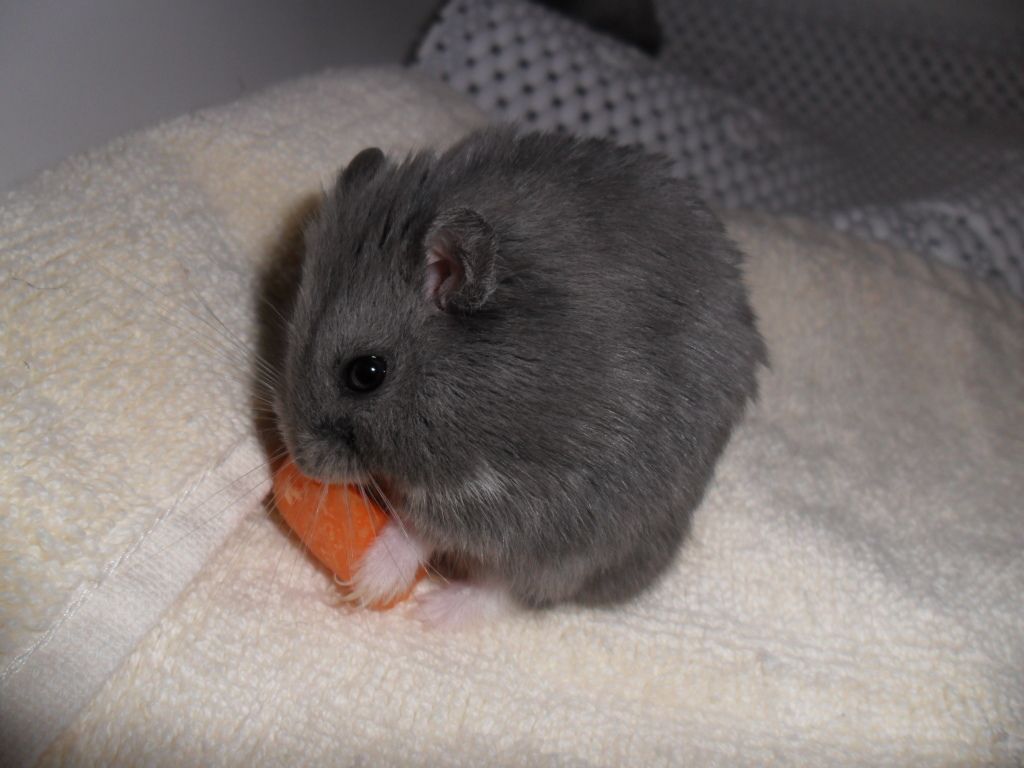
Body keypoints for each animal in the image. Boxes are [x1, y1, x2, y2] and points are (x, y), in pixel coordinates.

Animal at [274, 128, 770, 618]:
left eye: (366, 373)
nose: (302, 463)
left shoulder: (519, 498)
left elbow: (423, 530)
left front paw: (364, 584)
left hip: (596, 547)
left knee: (510, 590)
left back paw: (435, 612)